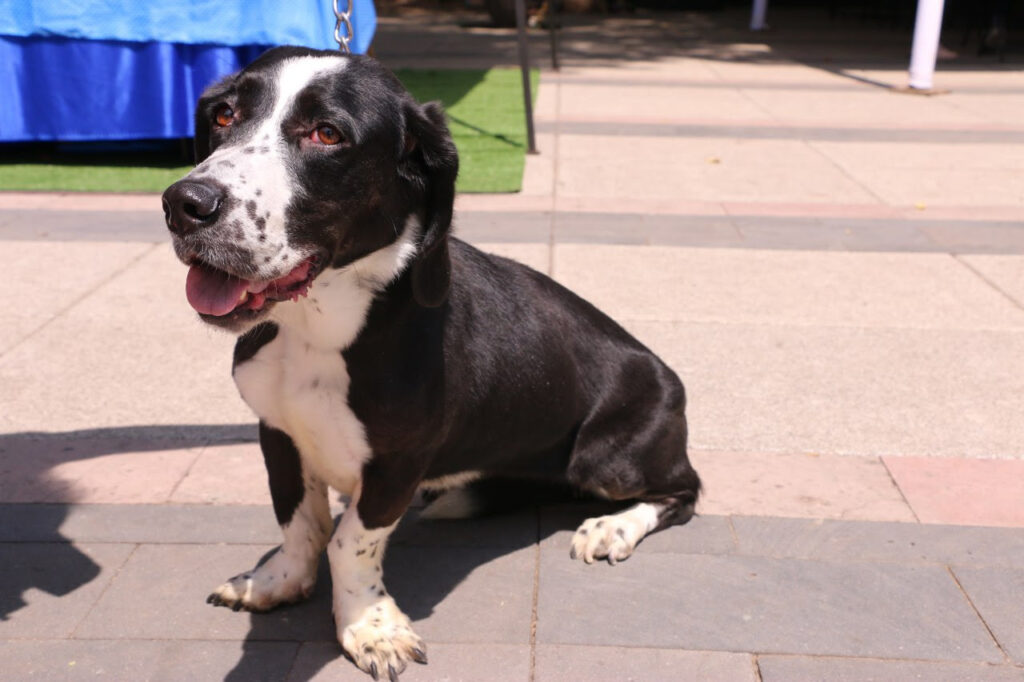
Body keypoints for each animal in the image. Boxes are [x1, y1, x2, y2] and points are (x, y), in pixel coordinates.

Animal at [161, 45, 704, 675]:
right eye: (224, 115)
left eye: (327, 133)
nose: (184, 204)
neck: (318, 331)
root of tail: (671, 382)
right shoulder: (277, 431)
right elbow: (301, 522)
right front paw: (280, 580)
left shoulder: (398, 462)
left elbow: (348, 542)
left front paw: (369, 627)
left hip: (607, 459)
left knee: (684, 490)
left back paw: (613, 526)